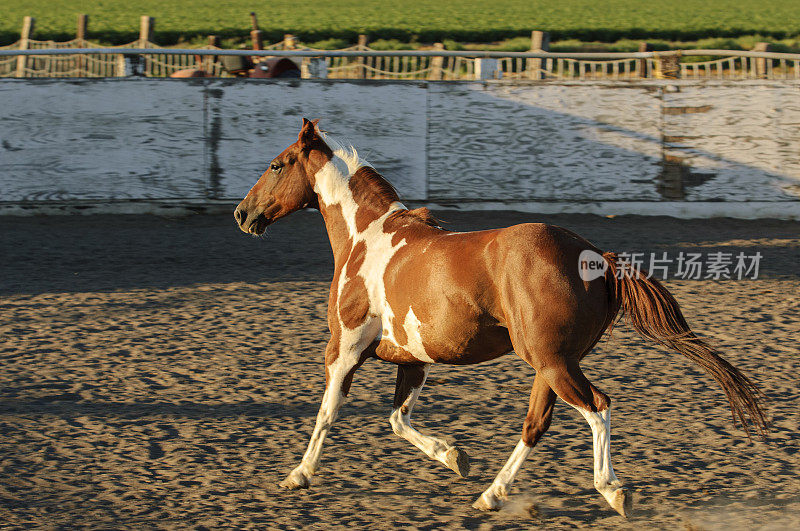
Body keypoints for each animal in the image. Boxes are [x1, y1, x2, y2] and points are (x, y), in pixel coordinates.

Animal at [234, 118, 764, 516]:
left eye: (276, 164)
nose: (242, 214)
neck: (367, 238)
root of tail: (597, 258)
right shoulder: (414, 360)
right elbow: (398, 420)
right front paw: (454, 456)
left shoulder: (344, 348)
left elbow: (327, 412)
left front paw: (297, 475)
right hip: (551, 363)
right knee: (537, 424)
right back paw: (490, 494)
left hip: (552, 362)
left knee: (597, 406)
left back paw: (613, 491)